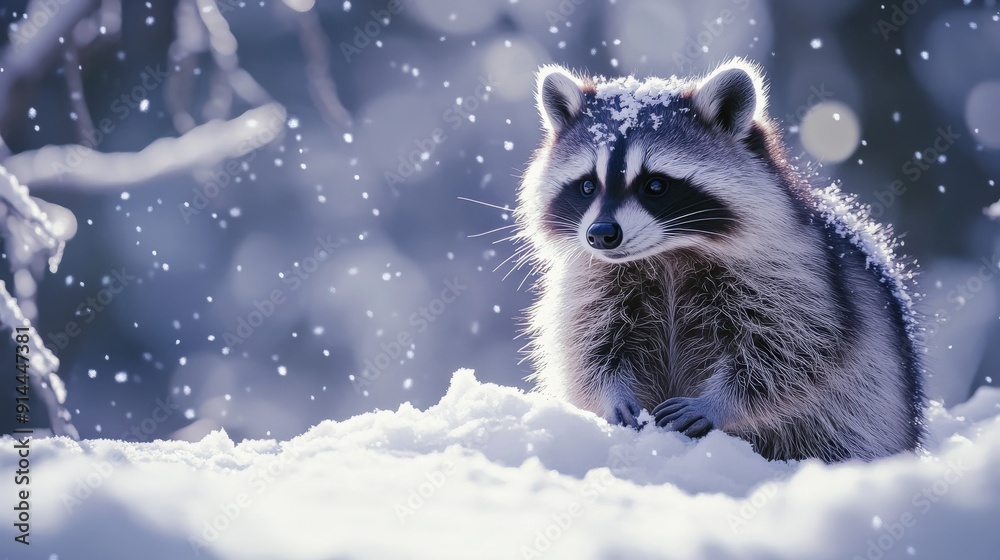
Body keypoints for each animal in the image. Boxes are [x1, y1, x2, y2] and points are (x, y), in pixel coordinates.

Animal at [514, 58, 924, 462]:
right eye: (587, 185)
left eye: (655, 185)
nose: (600, 234)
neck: (667, 253)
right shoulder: (593, 280)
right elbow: (587, 347)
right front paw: (610, 396)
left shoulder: (791, 269)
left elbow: (792, 348)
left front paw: (718, 403)